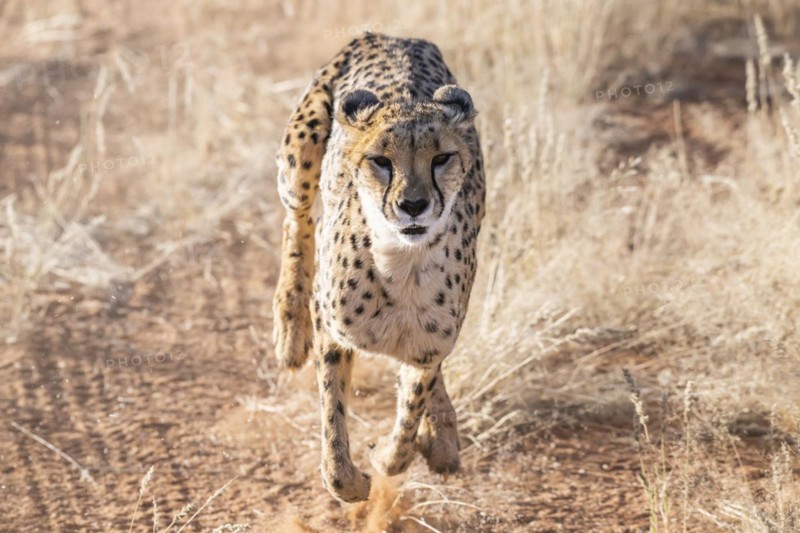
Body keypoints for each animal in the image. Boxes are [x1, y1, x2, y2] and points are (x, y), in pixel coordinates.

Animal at [272, 32, 486, 503]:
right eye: (381, 161)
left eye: (441, 158)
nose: (413, 205)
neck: (403, 264)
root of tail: (393, 37)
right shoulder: (331, 327)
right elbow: (332, 414)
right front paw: (350, 482)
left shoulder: (428, 349)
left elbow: (411, 409)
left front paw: (389, 457)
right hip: (300, 159)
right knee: (298, 221)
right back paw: (290, 332)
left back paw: (444, 440)